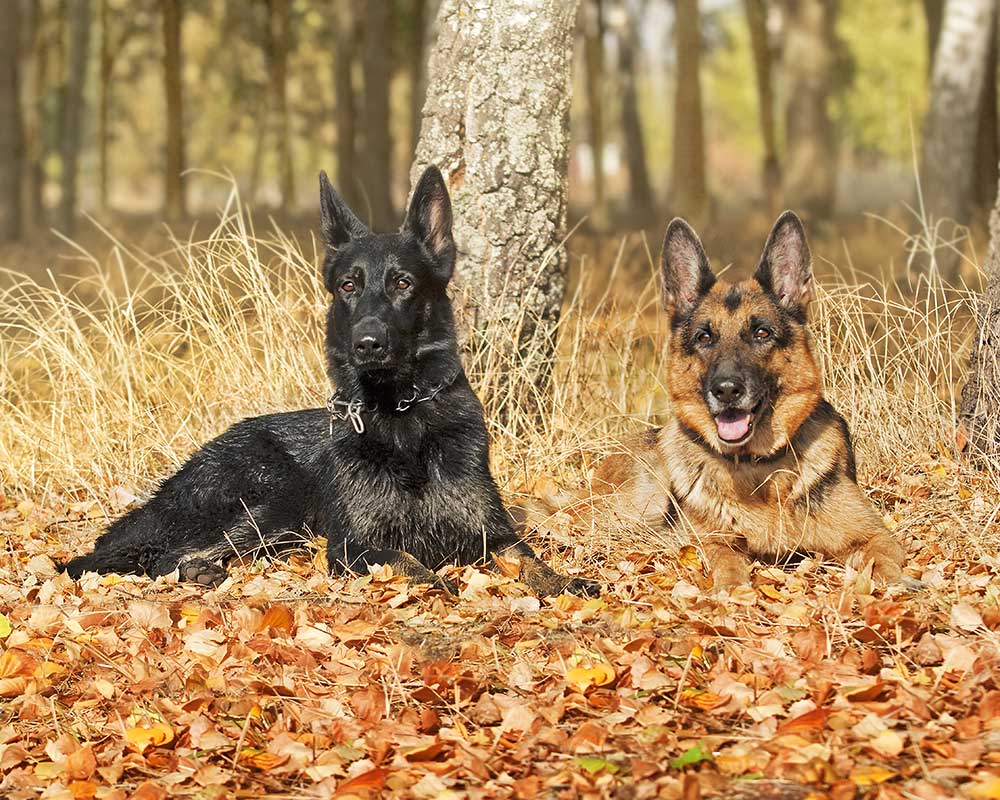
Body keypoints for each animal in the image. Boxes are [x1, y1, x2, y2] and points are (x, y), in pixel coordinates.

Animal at [66, 166, 600, 596]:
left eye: (403, 283)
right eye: (348, 285)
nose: (367, 343)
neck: (400, 414)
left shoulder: (494, 533)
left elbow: (528, 559)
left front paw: (565, 581)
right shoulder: (354, 546)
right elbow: (411, 563)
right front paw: (440, 584)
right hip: (272, 498)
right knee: (156, 555)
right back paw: (193, 570)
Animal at [540, 211, 908, 588]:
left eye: (762, 332)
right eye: (705, 337)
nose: (727, 390)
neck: (758, 469)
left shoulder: (875, 534)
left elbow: (884, 561)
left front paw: (894, 584)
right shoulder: (714, 543)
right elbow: (727, 563)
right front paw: (733, 590)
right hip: (632, 504)